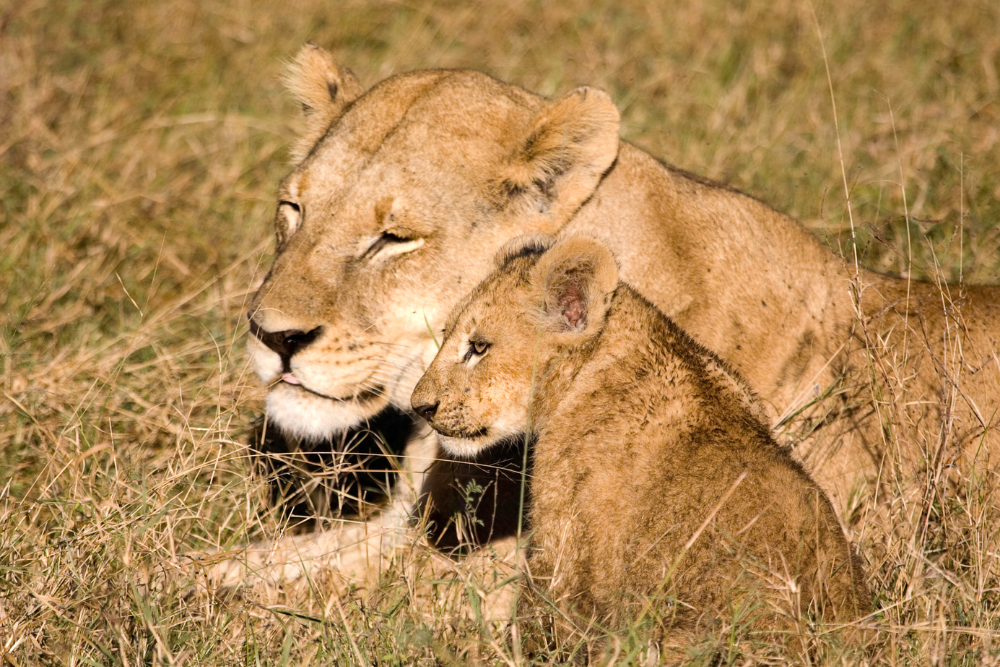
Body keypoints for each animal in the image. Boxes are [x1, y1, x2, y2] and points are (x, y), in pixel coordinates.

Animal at [222, 43, 999, 588]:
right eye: (294, 209)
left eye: (394, 237)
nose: (271, 336)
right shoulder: (401, 527)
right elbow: (226, 569)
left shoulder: (504, 580)